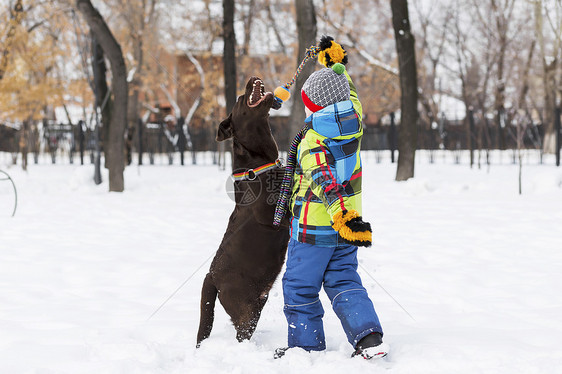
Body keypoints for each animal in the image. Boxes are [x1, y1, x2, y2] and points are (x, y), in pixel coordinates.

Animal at [196, 76, 288, 348]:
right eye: (239, 99)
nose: (251, 79)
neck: (259, 163)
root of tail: (211, 276)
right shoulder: (271, 215)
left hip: (256, 302)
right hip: (244, 308)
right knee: (242, 334)